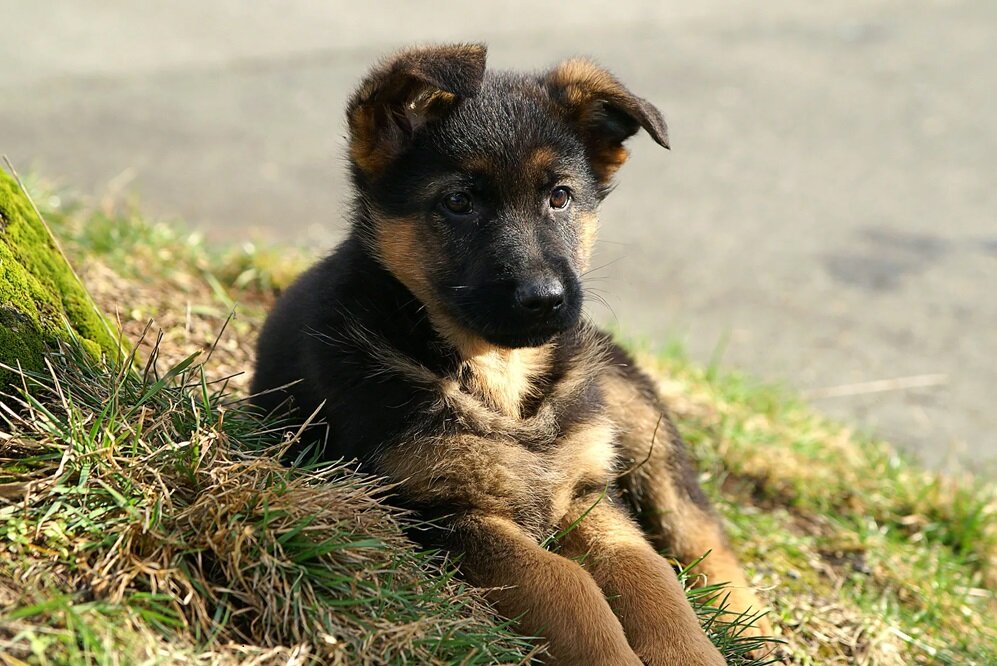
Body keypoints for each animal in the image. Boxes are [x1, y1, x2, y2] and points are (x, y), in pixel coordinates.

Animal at [251, 44, 772, 660]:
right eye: (458, 202)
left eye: (560, 197)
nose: (545, 300)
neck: (498, 373)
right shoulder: (442, 511)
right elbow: (564, 581)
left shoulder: (589, 492)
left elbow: (647, 572)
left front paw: (690, 651)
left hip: (633, 411)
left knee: (694, 522)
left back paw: (749, 620)